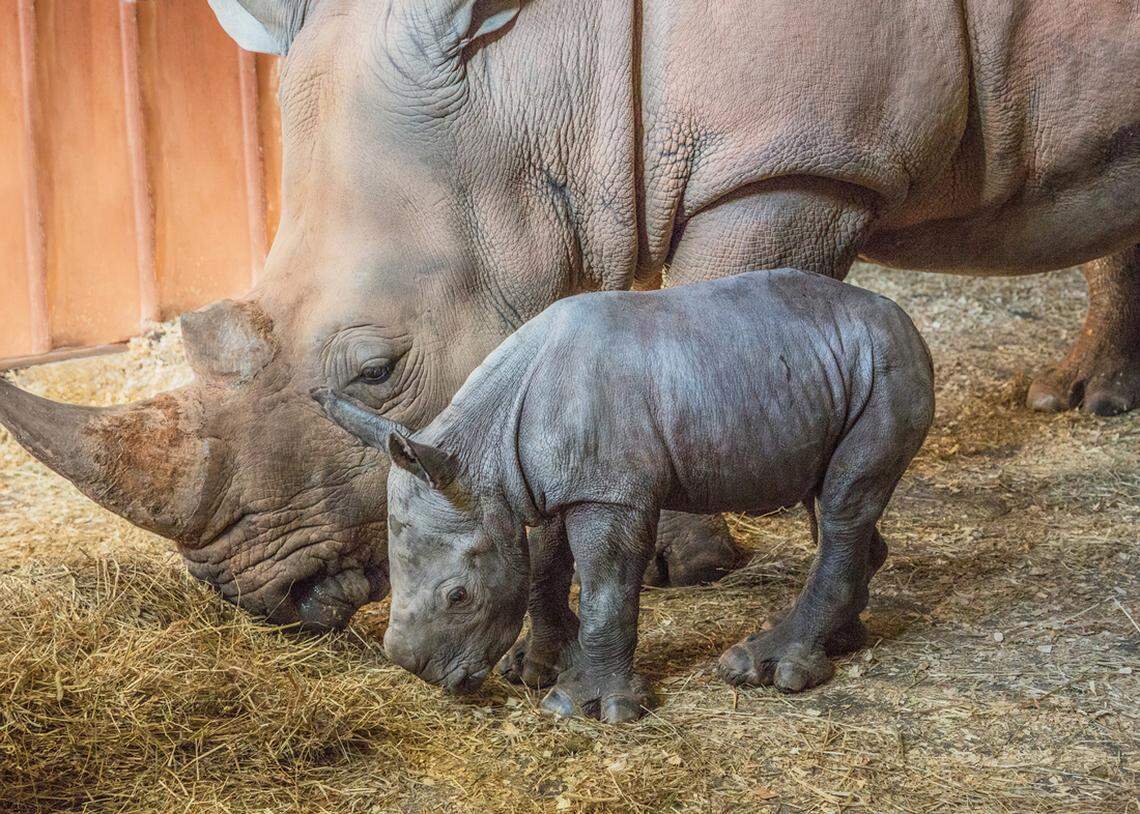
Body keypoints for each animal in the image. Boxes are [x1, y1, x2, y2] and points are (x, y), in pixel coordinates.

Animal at [0, 0, 1137, 632]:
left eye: (377, 372)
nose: (253, 595)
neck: (549, 61)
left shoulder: (792, 158)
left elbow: (725, 320)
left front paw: (683, 561)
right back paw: (1081, 400)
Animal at [313, 269, 935, 721]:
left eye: (458, 596)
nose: (425, 674)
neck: (481, 455)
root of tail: (905, 320)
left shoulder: (610, 494)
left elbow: (606, 588)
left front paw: (583, 706)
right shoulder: (559, 483)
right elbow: (544, 566)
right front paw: (539, 668)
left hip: (887, 368)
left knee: (842, 506)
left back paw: (765, 668)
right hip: (831, 371)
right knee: (829, 503)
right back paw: (843, 640)